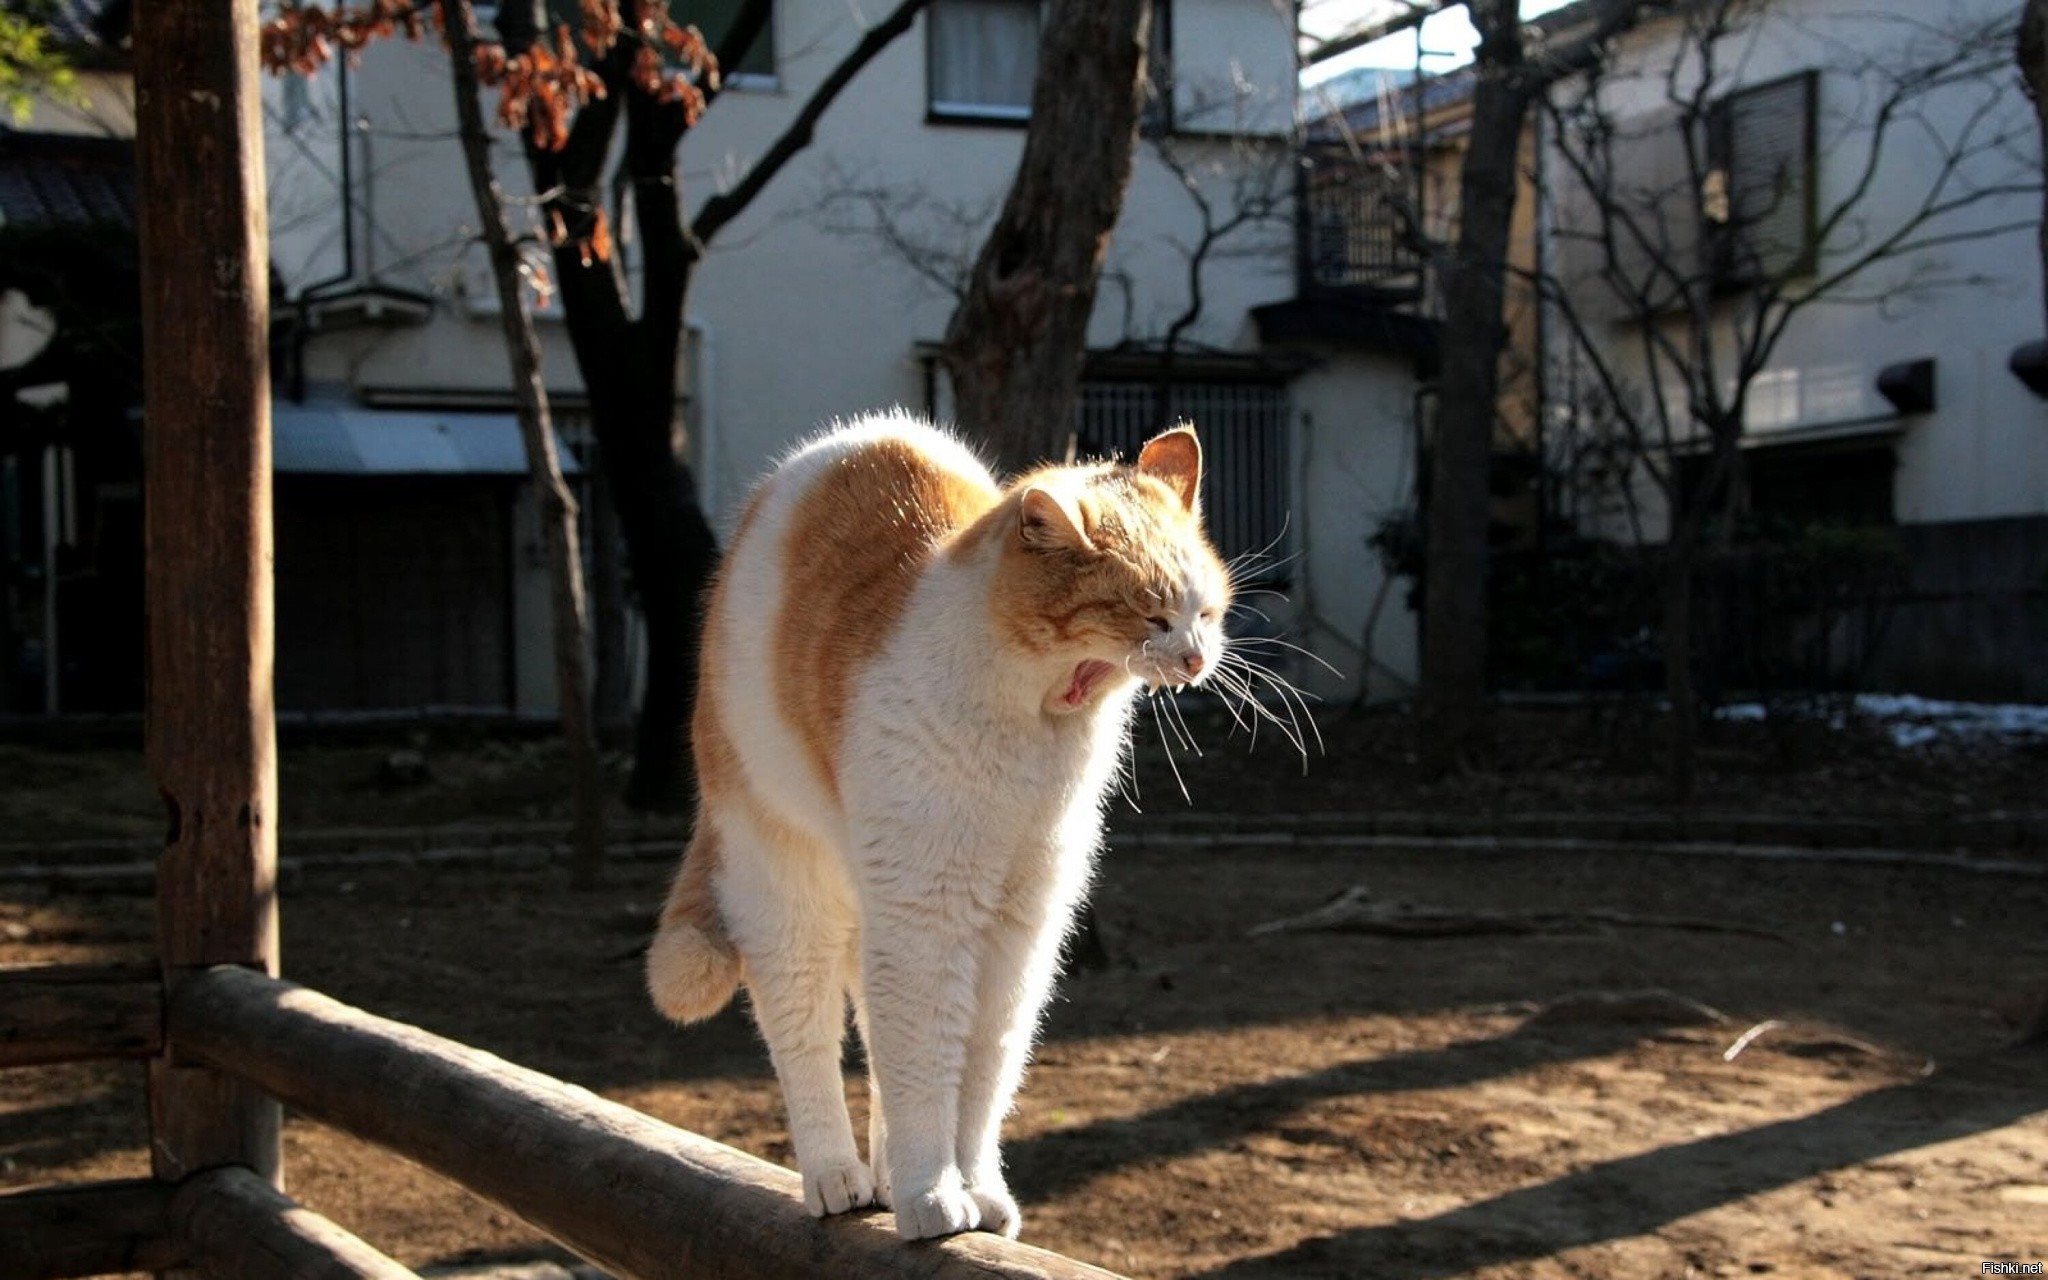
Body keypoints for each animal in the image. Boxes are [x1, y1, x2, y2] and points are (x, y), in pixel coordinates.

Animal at [647, 409, 1220, 1236]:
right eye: (1150, 611)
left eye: (1206, 609)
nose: (1199, 657)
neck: (1036, 726)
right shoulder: (931, 912)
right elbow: (922, 1063)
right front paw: (930, 1194)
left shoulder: (1020, 926)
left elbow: (981, 1073)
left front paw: (972, 1188)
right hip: (788, 888)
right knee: (806, 1033)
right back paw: (837, 1177)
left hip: (871, 902)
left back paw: (888, 1178)